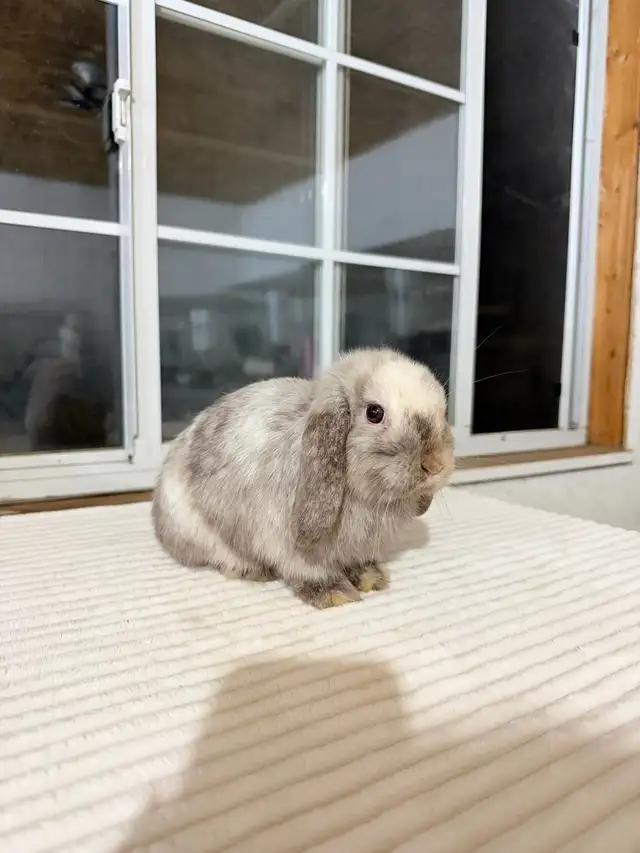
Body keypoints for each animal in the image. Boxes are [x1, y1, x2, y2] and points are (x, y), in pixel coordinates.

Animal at [152, 348, 454, 608]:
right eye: (374, 412)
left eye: (443, 412)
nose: (434, 465)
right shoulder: (286, 542)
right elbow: (306, 569)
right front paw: (334, 594)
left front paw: (371, 578)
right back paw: (252, 570)